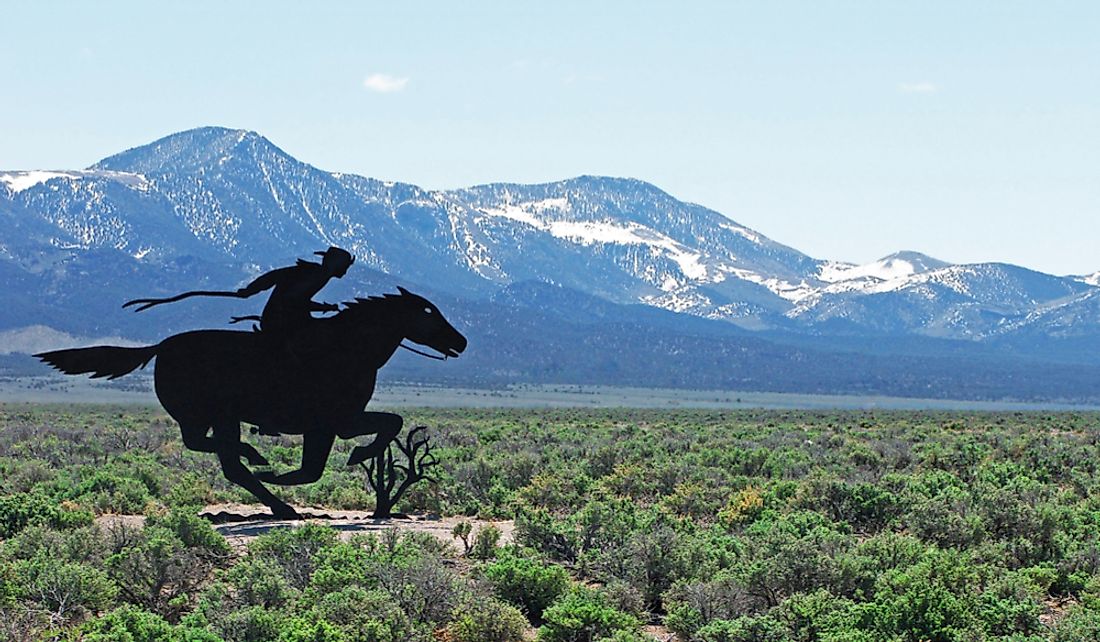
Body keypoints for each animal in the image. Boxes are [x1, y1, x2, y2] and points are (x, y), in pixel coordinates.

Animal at [36, 288, 466, 518]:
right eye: (429, 312)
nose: (461, 342)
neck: (347, 349)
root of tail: (159, 348)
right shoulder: (335, 422)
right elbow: (378, 430)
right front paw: (357, 455)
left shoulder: (332, 424)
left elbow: (375, 431)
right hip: (217, 415)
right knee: (221, 456)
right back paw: (269, 483)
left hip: (212, 417)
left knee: (214, 452)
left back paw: (266, 479)